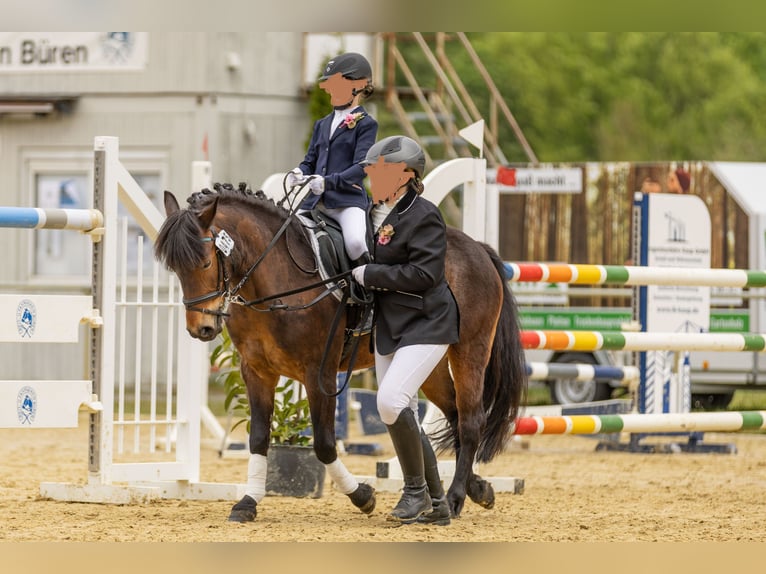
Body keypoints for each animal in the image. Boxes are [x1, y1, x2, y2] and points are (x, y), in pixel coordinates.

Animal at [154, 182, 527, 521]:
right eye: (174, 268)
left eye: (205, 263)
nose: (201, 329)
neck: (276, 280)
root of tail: (475, 247)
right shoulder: (257, 372)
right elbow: (258, 438)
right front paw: (247, 503)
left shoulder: (318, 372)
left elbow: (323, 443)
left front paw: (362, 495)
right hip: (429, 365)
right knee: (453, 414)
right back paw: (478, 489)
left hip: (470, 350)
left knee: (471, 420)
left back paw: (455, 498)